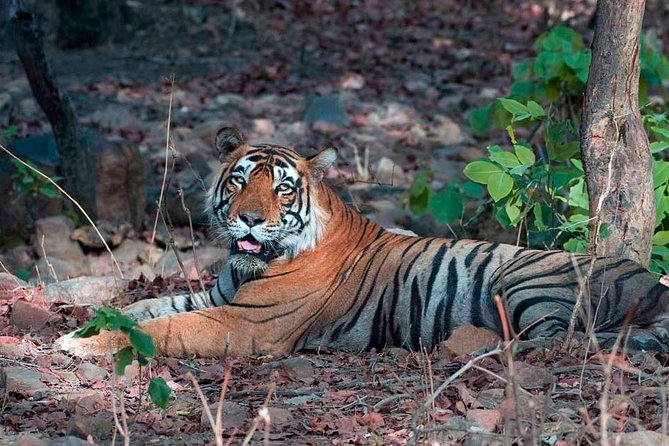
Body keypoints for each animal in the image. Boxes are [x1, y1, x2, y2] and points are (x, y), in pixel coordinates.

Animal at [57, 127, 669, 358]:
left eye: (282, 187)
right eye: (239, 180)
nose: (250, 221)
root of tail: (653, 282)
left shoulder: (244, 324)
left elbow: (161, 328)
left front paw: (81, 345)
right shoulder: (217, 297)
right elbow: (145, 307)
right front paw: (81, 324)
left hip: (524, 277)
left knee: (558, 340)